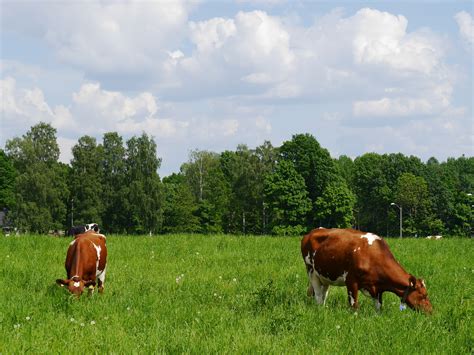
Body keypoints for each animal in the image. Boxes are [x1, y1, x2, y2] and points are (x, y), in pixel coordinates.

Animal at [302, 228, 432, 314]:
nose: (431, 312)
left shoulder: (378, 289)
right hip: (311, 271)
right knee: (318, 295)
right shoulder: (351, 281)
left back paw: (324, 308)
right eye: (424, 295)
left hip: (324, 276)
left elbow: (379, 307)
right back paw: (320, 309)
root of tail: (312, 232)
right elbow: (354, 305)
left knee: (324, 293)